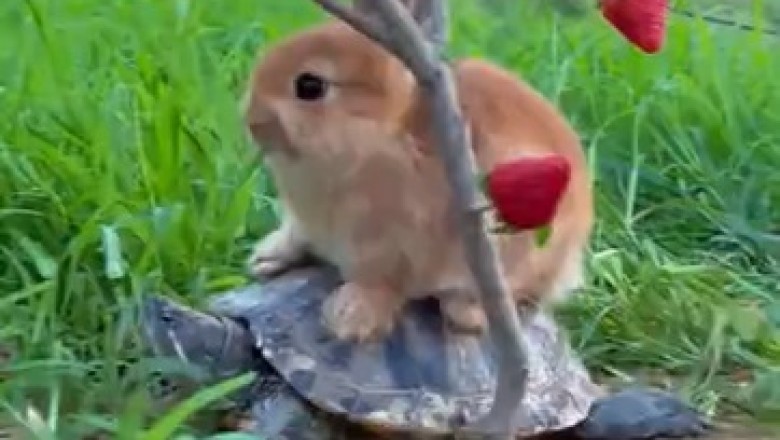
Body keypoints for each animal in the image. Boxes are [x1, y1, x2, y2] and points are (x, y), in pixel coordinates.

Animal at [242, 19, 593, 342]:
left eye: (310, 86)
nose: (253, 122)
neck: (378, 130)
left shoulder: (385, 245)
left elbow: (378, 283)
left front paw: (349, 318)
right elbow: (297, 238)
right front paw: (265, 260)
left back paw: (468, 315)